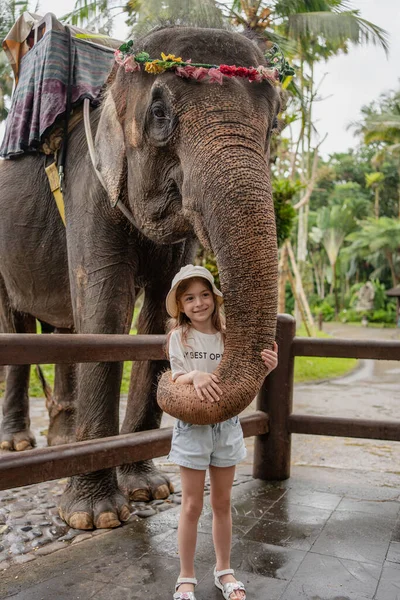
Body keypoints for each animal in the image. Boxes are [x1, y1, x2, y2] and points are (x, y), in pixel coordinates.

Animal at [0, 23, 280, 528]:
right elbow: (105, 310)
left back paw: (63, 442)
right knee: (18, 325)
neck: (110, 90)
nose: (181, 384)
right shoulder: (89, 185)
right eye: (160, 113)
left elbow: (159, 314)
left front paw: (149, 490)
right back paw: (19, 444)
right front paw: (95, 516)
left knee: (64, 327)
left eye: (274, 124)